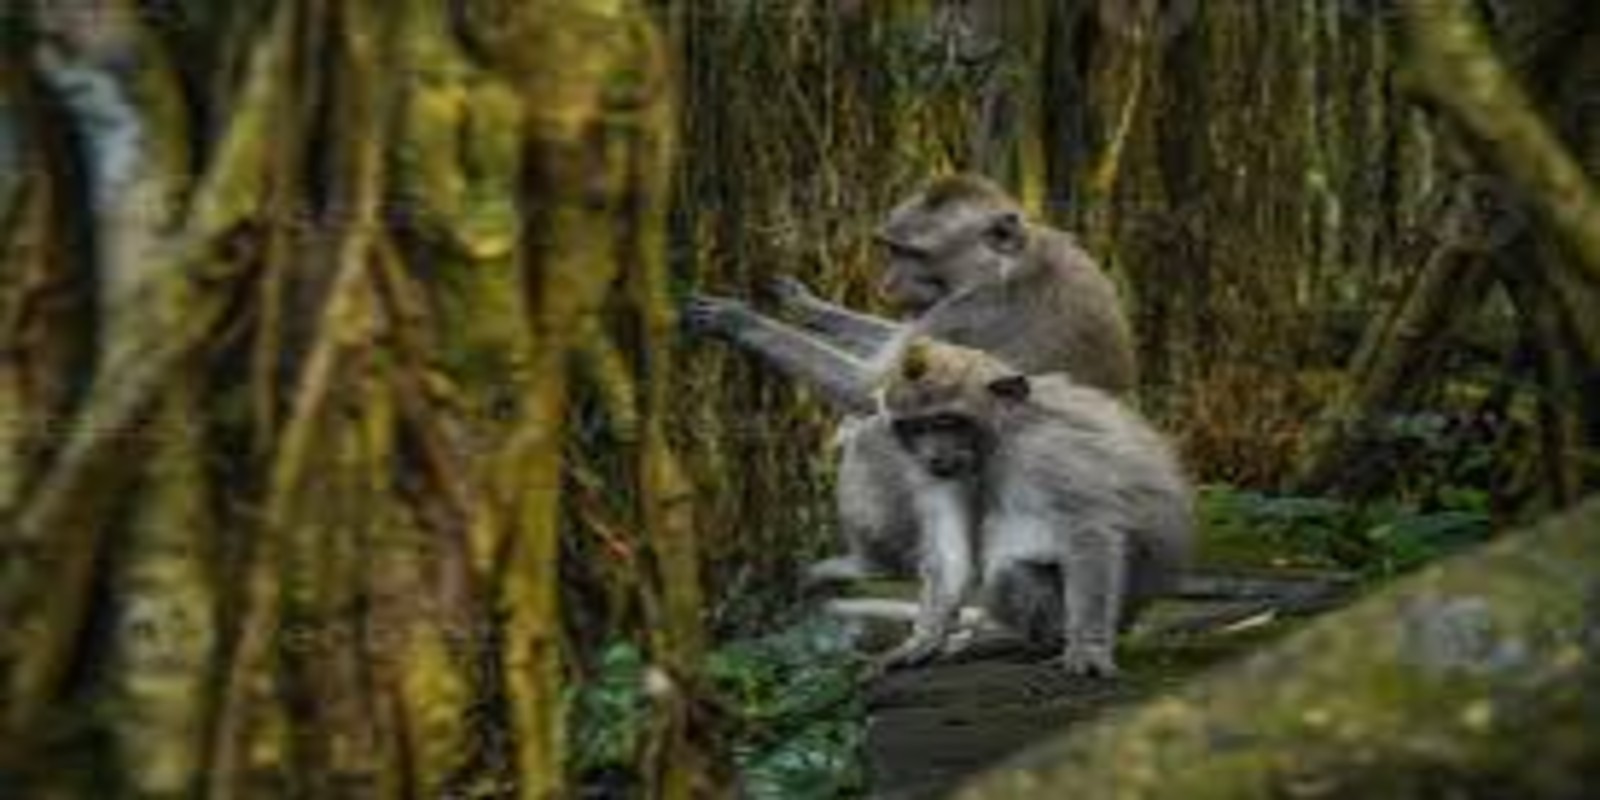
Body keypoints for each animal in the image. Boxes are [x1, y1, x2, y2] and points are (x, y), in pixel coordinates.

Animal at [684, 174, 1138, 584]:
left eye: (915, 254)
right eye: (892, 250)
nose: (888, 281)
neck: (1008, 261)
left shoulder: (968, 311)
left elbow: (870, 392)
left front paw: (740, 321)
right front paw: (807, 305)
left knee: (873, 435)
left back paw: (871, 565)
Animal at [870, 337, 1192, 677]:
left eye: (946, 421)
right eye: (915, 428)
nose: (933, 456)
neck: (1003, 435)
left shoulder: (1047, 450)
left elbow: (1089, 531)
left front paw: (1088, 647)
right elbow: (949, 550)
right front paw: (925, 638)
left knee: (1007, 574)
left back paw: (1052, 641)